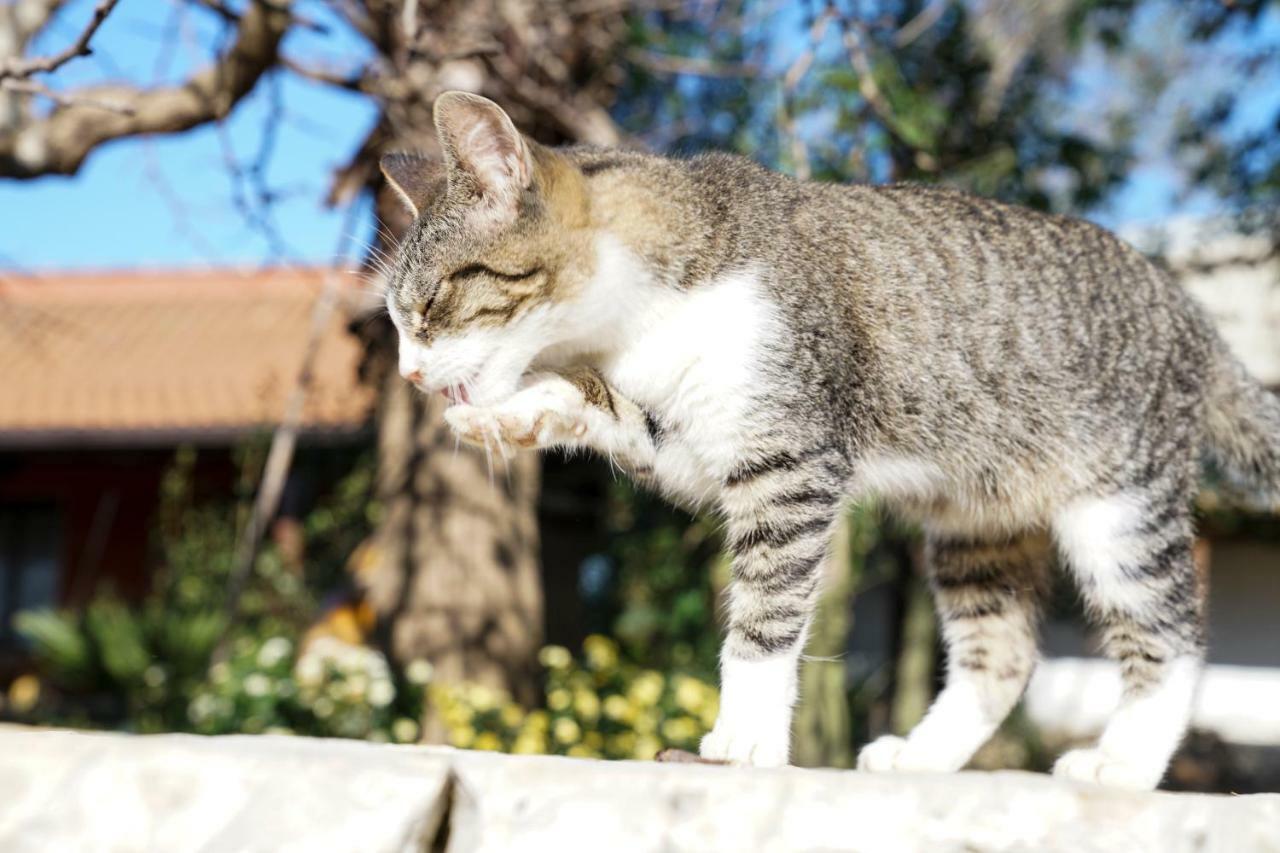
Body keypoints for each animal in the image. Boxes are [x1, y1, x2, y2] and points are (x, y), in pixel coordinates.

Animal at [378, 89, 1280, 788]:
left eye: (429, 306)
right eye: (396, 320)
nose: (411, 376)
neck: (644, 314)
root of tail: (1190, 312)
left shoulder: (788, 456)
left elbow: (766, 611)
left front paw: (743, 737)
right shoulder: (688, 437)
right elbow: (596, 402)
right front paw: (510, 413)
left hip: (1120, 508)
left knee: (1172, 635)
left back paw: (1123, 762)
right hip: (978, 524)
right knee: (1003, 651)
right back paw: (922, 755)